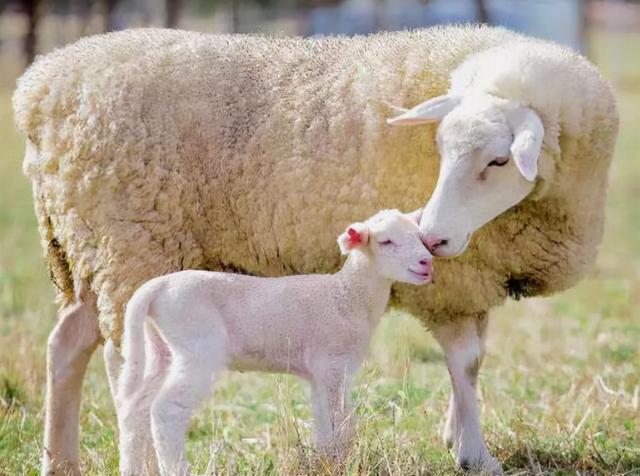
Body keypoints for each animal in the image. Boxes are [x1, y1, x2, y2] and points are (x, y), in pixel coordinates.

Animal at [117, 210, 432, 474]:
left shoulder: (320, 373)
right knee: (166, 410)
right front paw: (341, 464)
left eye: (418, 237)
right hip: (197, 347)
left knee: (136, 408)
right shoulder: (333, 364)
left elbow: (324, 422)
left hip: (162, 349)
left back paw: (130, 468)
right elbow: (341, 421)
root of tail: (157, 287)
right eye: (386, 241)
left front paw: (325, 462)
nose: (426, 262)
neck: (347, 295)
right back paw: (178, 469)